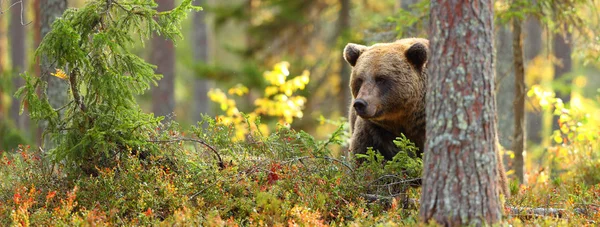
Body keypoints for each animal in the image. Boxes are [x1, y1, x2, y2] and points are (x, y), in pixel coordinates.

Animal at [344, 38, 508, 198]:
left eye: (381, 78)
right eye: (359, 79)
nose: (360, 103)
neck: (405, 119)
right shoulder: (376, 133)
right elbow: (367, 165)